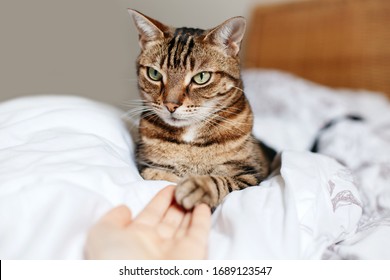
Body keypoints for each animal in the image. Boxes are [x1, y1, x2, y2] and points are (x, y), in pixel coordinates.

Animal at [128, 9, 274, 209]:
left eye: (201, 77)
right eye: (154, 74)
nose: (170, 105)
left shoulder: (250, 175)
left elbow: (222, 181)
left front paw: (198, 186)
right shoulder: (147, 165)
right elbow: (157, 175)